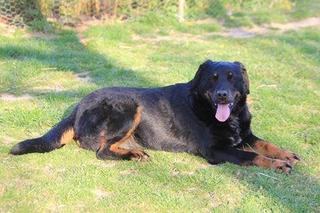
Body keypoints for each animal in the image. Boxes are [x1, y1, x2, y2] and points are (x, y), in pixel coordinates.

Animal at [10, 60, 300, 173]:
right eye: (213, 78)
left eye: (232, 78)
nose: (222, 96)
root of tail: (79, 106)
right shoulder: (216, 150)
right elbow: (252, 156)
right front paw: (277, 164)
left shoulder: (246, 135)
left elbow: (266, 144)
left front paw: (286, 154)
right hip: (129, 106)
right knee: (101, 151)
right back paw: (131, 155)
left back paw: (134, 152)